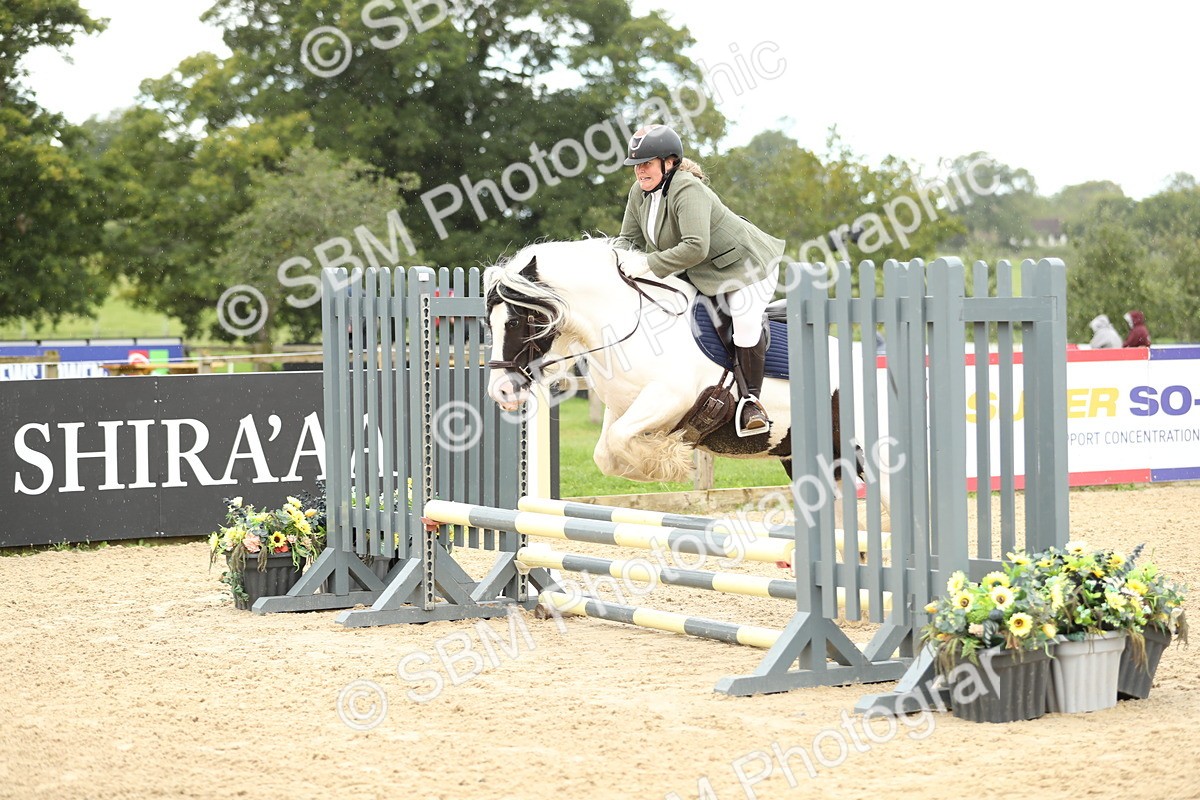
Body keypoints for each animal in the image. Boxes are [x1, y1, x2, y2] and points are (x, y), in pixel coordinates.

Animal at [483, 239, 876, 491]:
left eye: (517, 321)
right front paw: (657, 460)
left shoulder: (669, 397)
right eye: (490, 322)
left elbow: (621, 440)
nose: (501, 391)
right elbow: (606, 452)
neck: (627, 320)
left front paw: (665, 462)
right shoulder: (623, 406)